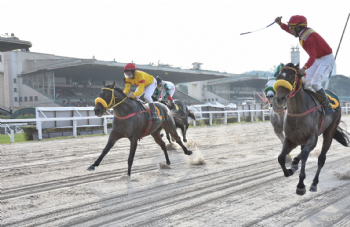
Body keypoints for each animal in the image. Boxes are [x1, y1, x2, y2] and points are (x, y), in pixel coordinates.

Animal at [274, 63, 348, 195]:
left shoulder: (311, 137)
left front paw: (301, 185)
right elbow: (281, 157)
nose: (279, 98)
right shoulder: (291, 139)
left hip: (329, 132)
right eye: (278, 77)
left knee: (321, 158)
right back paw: (294, 164)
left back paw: (314, 183)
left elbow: (304, 155)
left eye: (292, 77)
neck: (298, 112)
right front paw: (289, 170)